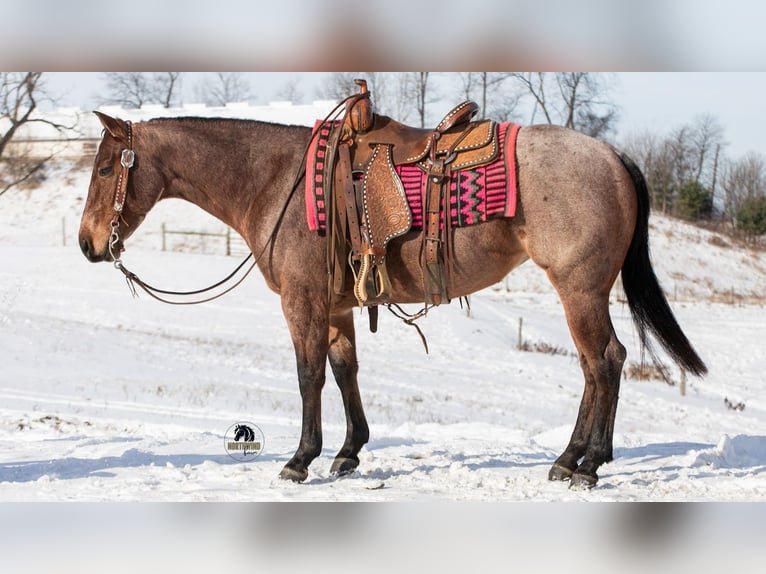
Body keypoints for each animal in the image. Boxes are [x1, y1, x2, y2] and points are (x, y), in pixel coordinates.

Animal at [78, 109, 707, 489]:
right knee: (597, 364)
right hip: (583, 291)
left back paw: (587, 464)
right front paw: (348, 452)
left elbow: (308, 376)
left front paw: (301, 459)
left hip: (579, 288)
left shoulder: (303, 302)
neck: (276, 181)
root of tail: (613, 156)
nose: (88, 243)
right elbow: (344, 371)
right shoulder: (336, 306)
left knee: (603, 362)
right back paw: (572, 458)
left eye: (106, 167)